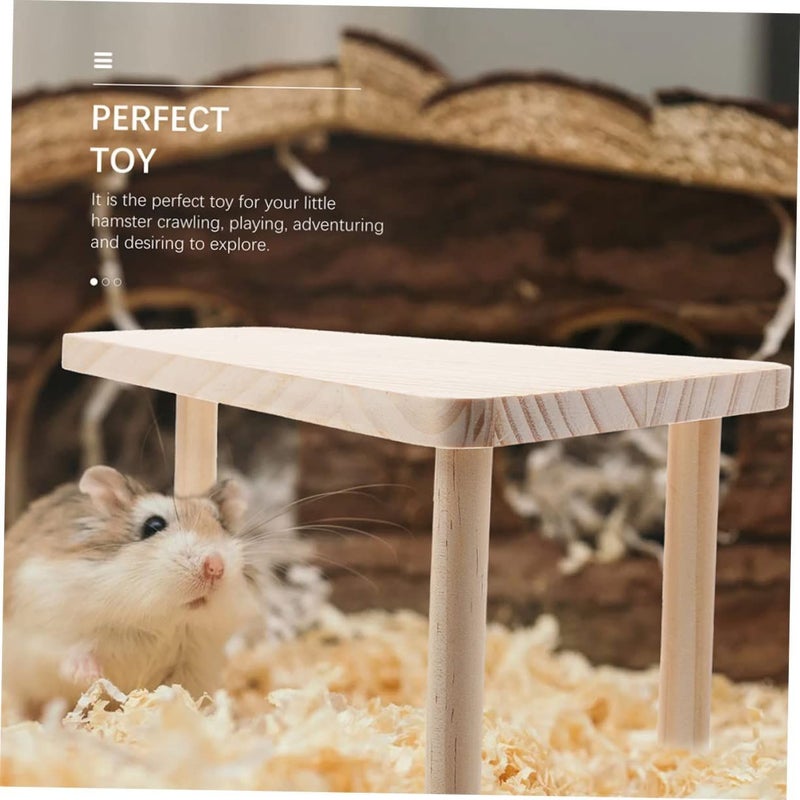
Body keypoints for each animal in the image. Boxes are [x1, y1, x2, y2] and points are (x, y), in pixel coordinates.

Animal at [2, 465, 271, 720]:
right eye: (153, 526)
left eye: (221, 524)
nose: (215, 566)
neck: (159, 620)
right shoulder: (46, 629)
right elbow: (68, 652)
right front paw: (90, 674)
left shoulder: (195, 663)